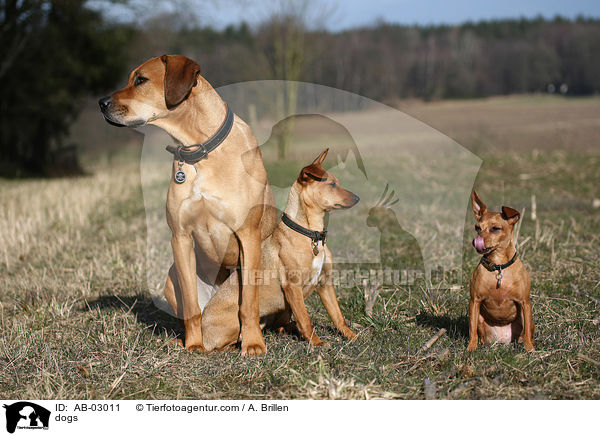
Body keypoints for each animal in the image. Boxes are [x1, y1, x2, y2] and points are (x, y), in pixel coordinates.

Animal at [99, 54, 278, 356]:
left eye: (140, 80)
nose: (101, 103)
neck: (199, 150)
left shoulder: (248, 235)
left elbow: (248, 304)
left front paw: (253, 344)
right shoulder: (180, 237)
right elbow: (192, 307)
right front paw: (193, 344)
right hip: (171, 278)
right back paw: (184, 340)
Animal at [202, 150, 360, 350]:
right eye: (332, 184)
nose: (358, 198)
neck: (311, 235)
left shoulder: (325, 283)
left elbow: (338, 316)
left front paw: (351, 336)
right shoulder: (293, 286)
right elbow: (305, 319)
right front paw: (316, 343)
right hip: (236, 321)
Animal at [466, 191, 536, 350]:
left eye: (495, 228)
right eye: (477, 227)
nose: (475, 241)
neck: (498, 267)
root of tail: (504, 340)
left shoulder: (525, 303)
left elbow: (527, 333)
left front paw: (530, 349)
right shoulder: (475, 301)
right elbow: (472, 331)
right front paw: (470, 348)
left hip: (527, 318)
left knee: (528, 331)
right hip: (480, 319)